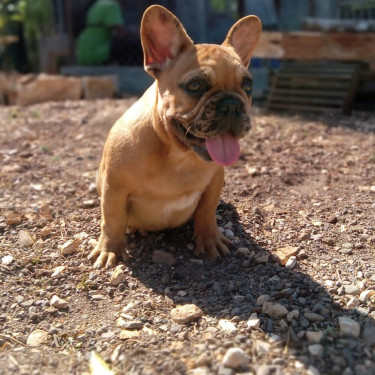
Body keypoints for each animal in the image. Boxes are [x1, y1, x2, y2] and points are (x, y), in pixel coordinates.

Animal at [89, 4, 262, 268]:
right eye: (195, 86)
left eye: (248, 85)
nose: (232, 104)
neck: (179, 155)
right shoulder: (113, 188)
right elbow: (112, 219)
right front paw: (110, 249)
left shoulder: (214, 184)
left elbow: (206, 214)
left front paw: (209, 240)